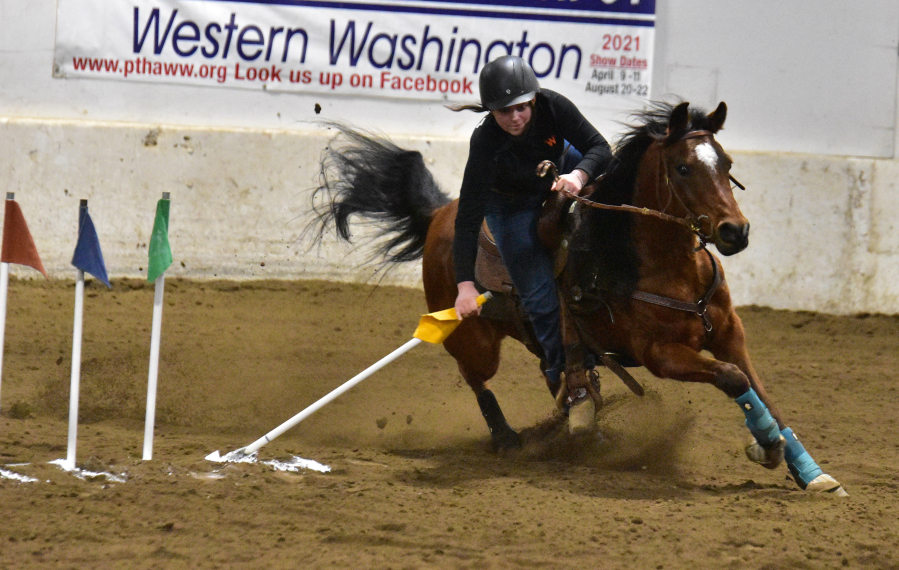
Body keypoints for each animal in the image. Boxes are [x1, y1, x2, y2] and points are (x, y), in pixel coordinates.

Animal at [306, 101, 848, 492]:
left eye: (728, 163)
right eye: (682, 168)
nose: (736, 231)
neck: (658, 263)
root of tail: (441, 213)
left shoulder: (730, 332)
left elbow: (760, 390)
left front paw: (806, 469)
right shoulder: (661, 355)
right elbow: (734, 379)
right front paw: (767, 447)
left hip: (536, 338)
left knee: (559, 372)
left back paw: (581, 421)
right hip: (473, 337)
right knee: (477, 377)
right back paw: (512, 439)